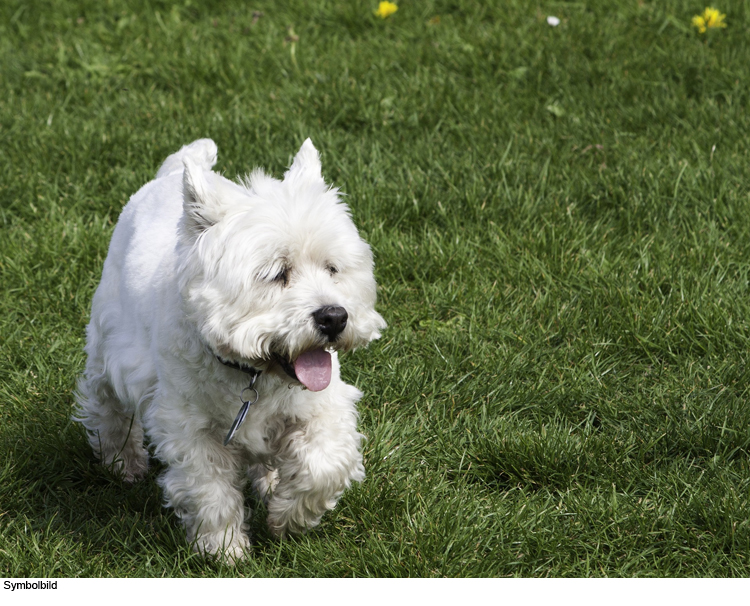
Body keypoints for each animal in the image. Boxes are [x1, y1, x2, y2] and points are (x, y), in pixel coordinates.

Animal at [75, 140, 388, 564]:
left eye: (332, 268)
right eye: (277, 273)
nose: (334, 317)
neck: (253, 374)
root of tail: (170, 173)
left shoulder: (322, 408)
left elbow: (324, 465)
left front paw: (287, 517)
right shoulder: (188, 427)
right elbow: (210, 490)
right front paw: (224, 549)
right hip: (107, 346)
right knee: (107, 405)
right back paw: (123, 462)